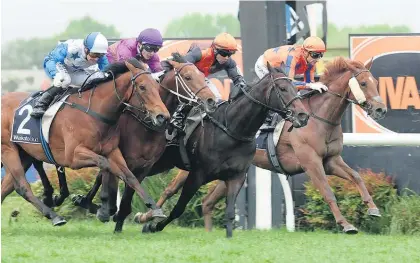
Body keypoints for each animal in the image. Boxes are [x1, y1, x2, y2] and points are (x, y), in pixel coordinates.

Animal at [1, 58, 170, 226]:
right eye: (142, 87)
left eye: (157, 87)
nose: (163, 116)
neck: (94, 113)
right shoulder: (74, 157)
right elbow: (106, 165)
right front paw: (102, 208)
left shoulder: (112, 150)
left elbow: (129, 176)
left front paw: (154, 208)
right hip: (8, 150)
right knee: (22, 186)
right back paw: (55, 216)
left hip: (24, 154)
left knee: (8, 187)